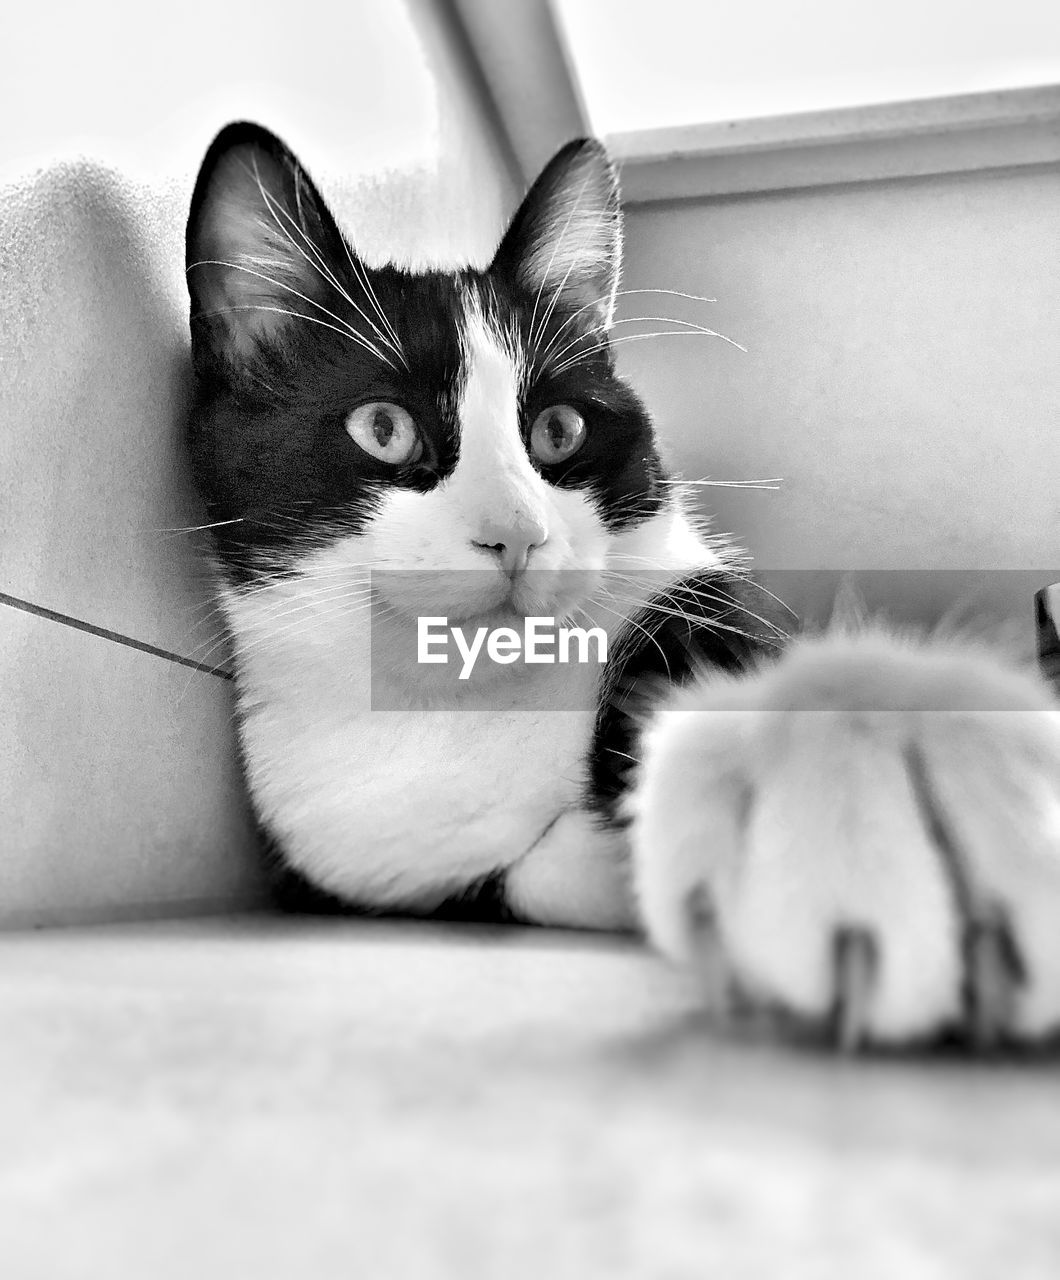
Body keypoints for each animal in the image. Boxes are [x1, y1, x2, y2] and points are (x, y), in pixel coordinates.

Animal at [184, 120, 1060, 1049]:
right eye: (383, 428)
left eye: (559, 429)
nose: (517, 532)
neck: (470, 702)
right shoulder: (353, 843)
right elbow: (531, 871)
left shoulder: (693, 594)